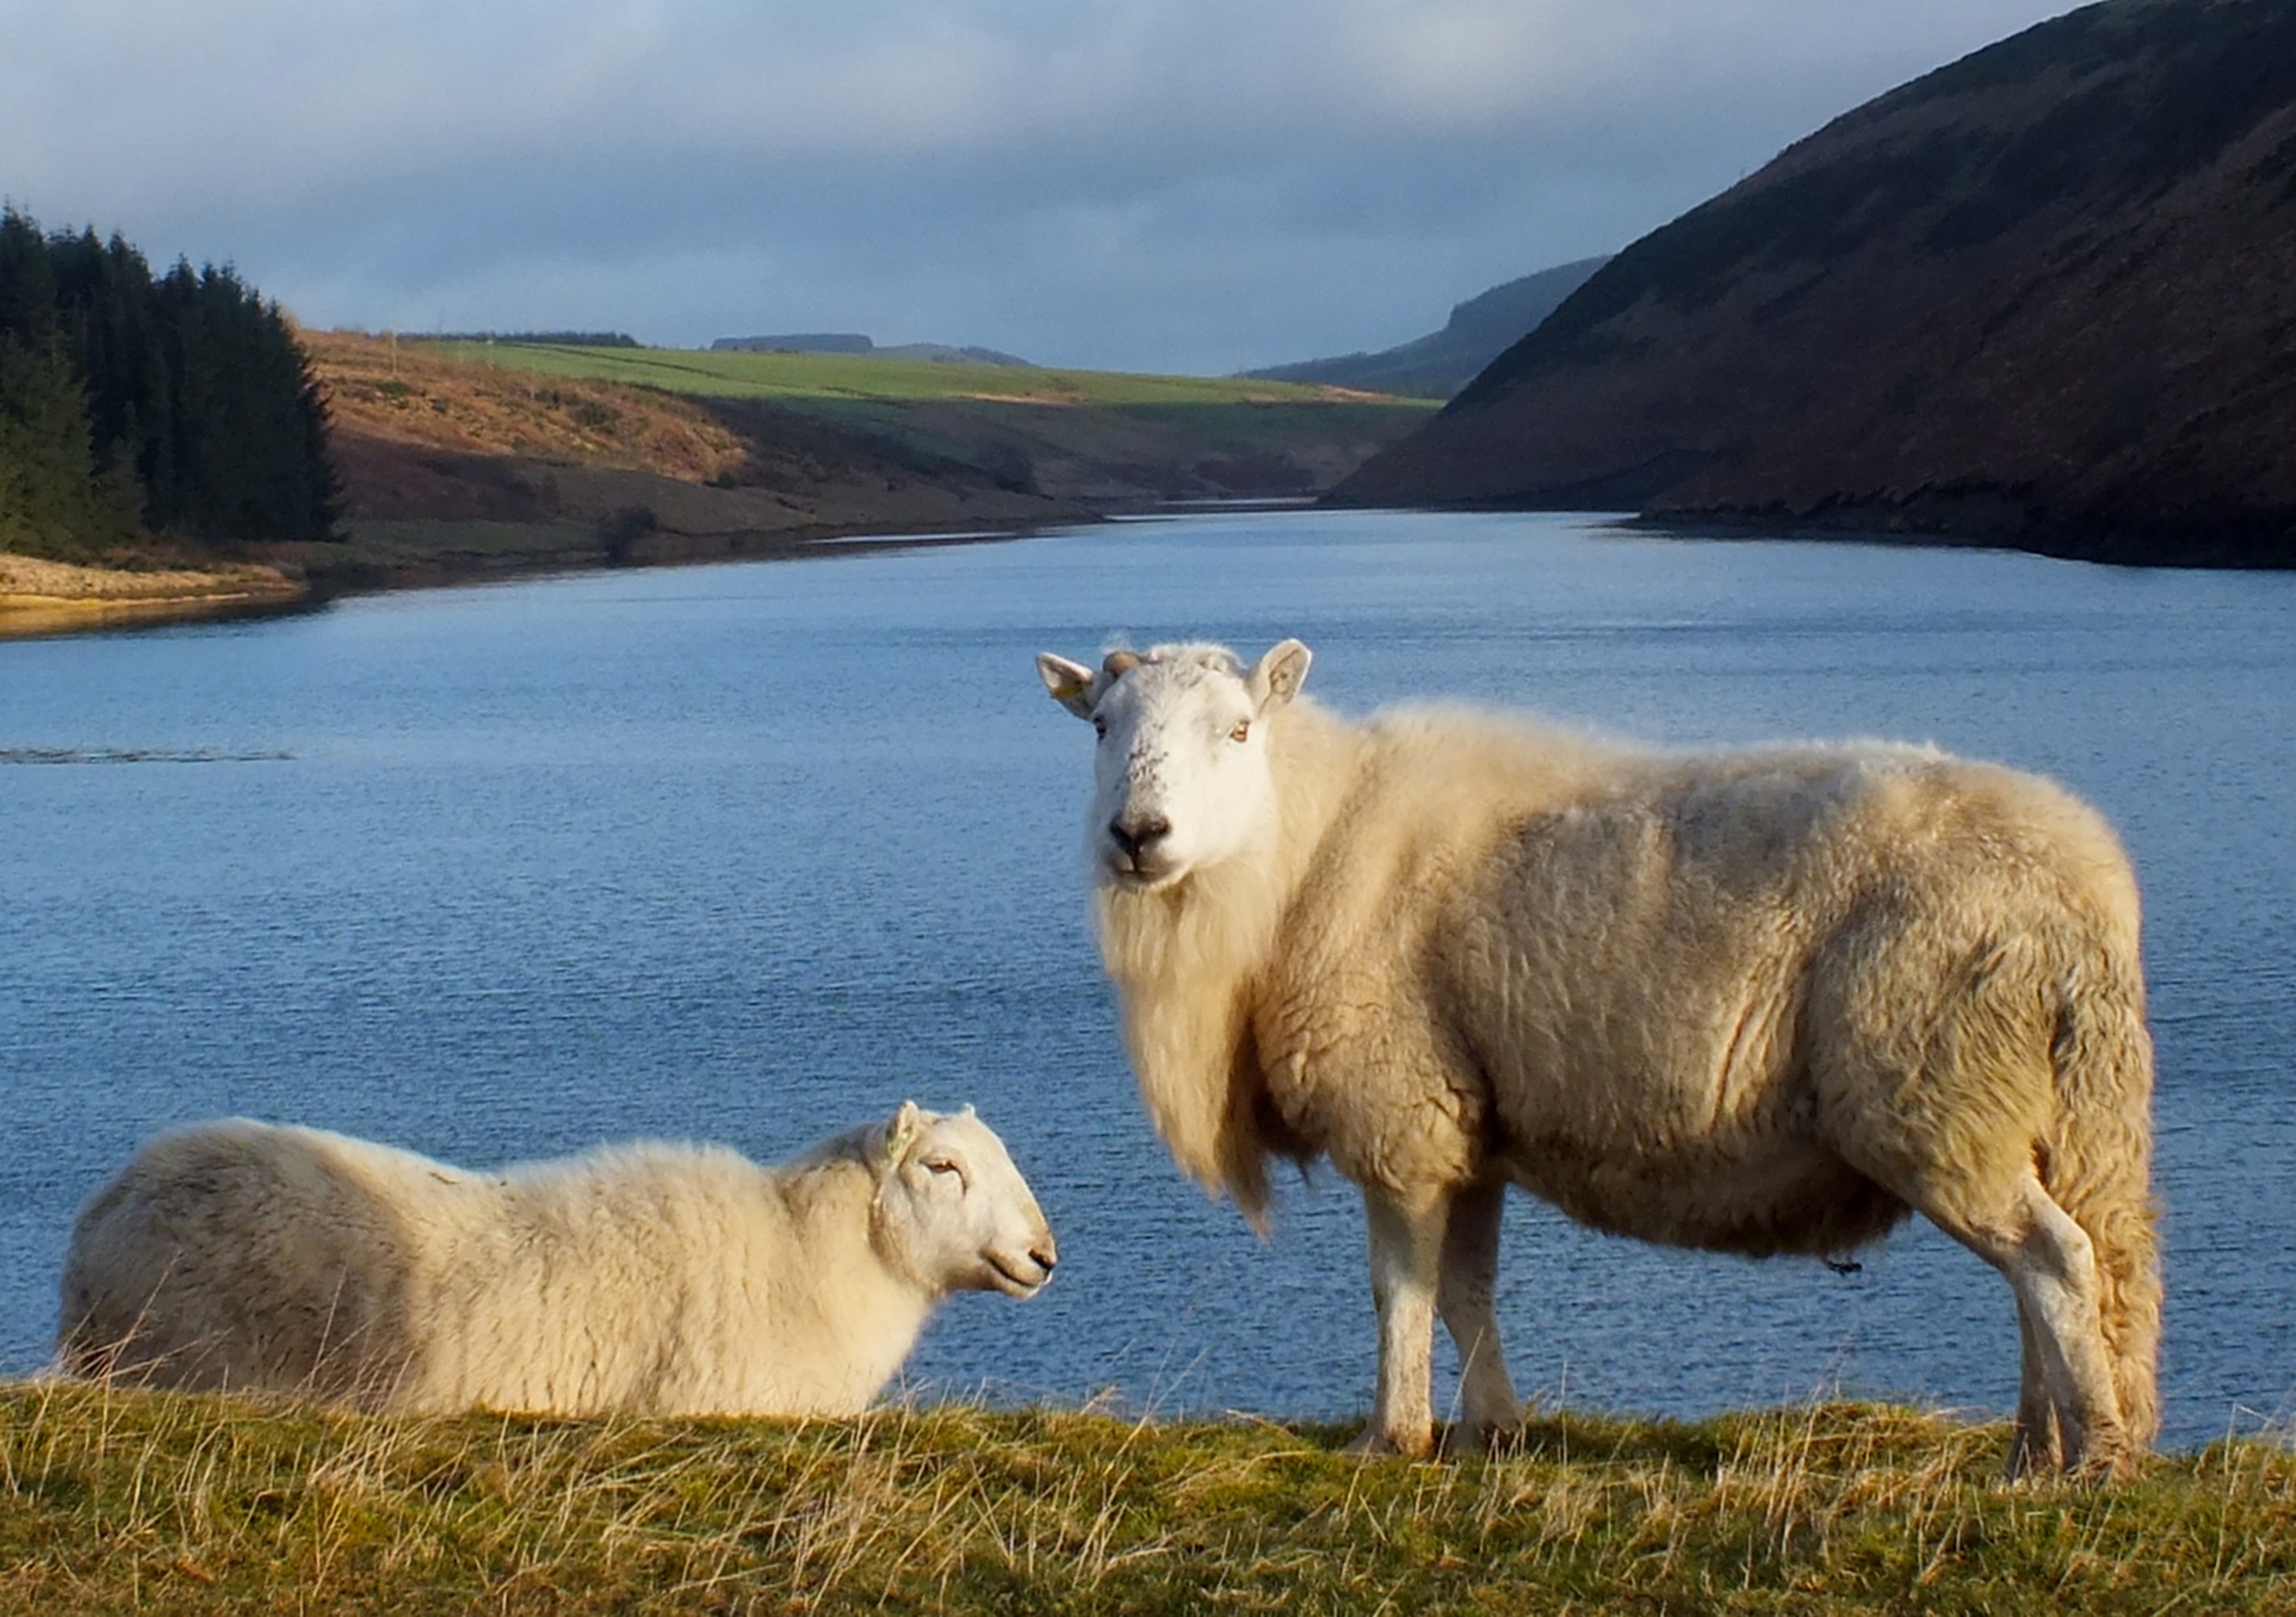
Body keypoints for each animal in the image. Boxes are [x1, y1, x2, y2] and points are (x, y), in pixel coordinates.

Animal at [1037, 638, 2149, 1470]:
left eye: (1236, 729)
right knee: (2041, 1274)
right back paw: (2030, 1454)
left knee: (2057, 1261)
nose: (1139, 834)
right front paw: (1493, 1430)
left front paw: (1389, 1439)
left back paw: (2090, 1459)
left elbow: (1400, 1292)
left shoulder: (1400, 1116)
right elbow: (1465, 1293)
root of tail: (2088, 887)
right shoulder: (1468, 1126)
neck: (1298, 852)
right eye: (1099, 727)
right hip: (2020, 1107)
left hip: (1934, 1091)